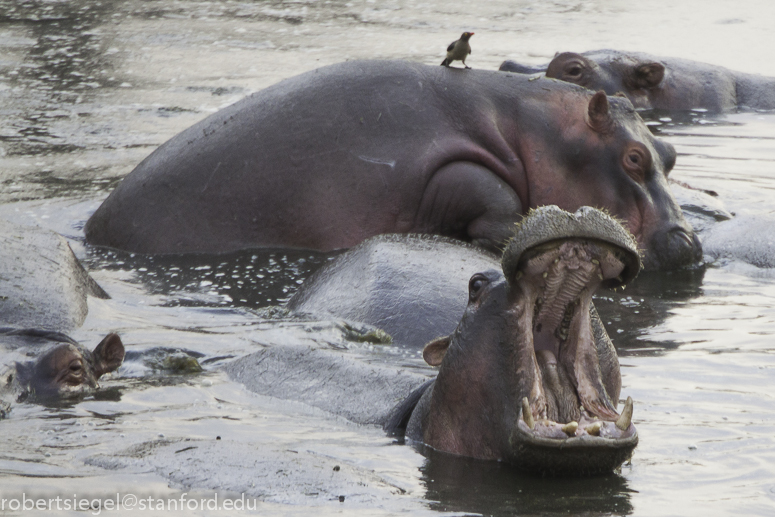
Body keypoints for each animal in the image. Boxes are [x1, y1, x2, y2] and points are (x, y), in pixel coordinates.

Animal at [85, 60, 699, 271]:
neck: (533, 128)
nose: (689, 243)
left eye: (669, 155)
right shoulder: (447, 165)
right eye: (633, 158)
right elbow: (488, 189)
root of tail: (94, 228)